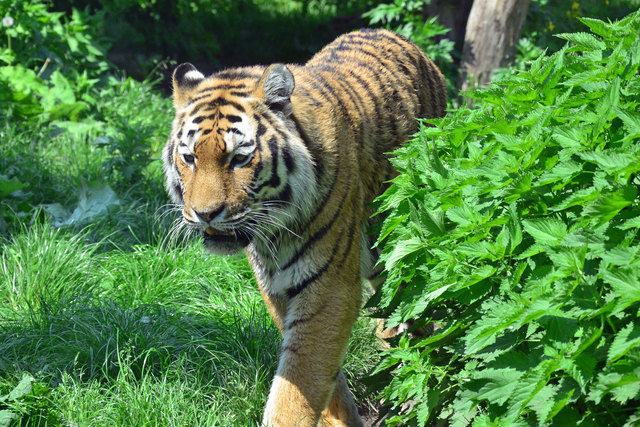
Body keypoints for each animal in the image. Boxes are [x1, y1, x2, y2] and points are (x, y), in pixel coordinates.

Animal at [162, 28, 446, 426]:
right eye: (189, 158)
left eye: (239, 158)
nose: (205, 213)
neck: (273, 232)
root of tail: (396, 36)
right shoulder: (277, 288)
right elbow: (319, 380)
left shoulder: (328, 287)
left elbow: (296, 387)